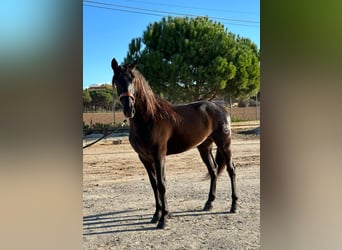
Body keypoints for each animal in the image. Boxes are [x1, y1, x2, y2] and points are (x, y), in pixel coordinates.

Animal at [111, 58, 236, 229]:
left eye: (133, 80)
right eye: (117, 81)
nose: (129, 109)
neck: (149, 118)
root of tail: (221, 108)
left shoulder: (159, 155)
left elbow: (162, 184)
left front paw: (163, 219)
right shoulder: (144, 158)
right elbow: (154, 184)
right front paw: (157, 215)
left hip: (224, 144)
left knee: (231, 170)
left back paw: (234, 206)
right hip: (204, 147)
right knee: (213, 170)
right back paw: (209, 203)